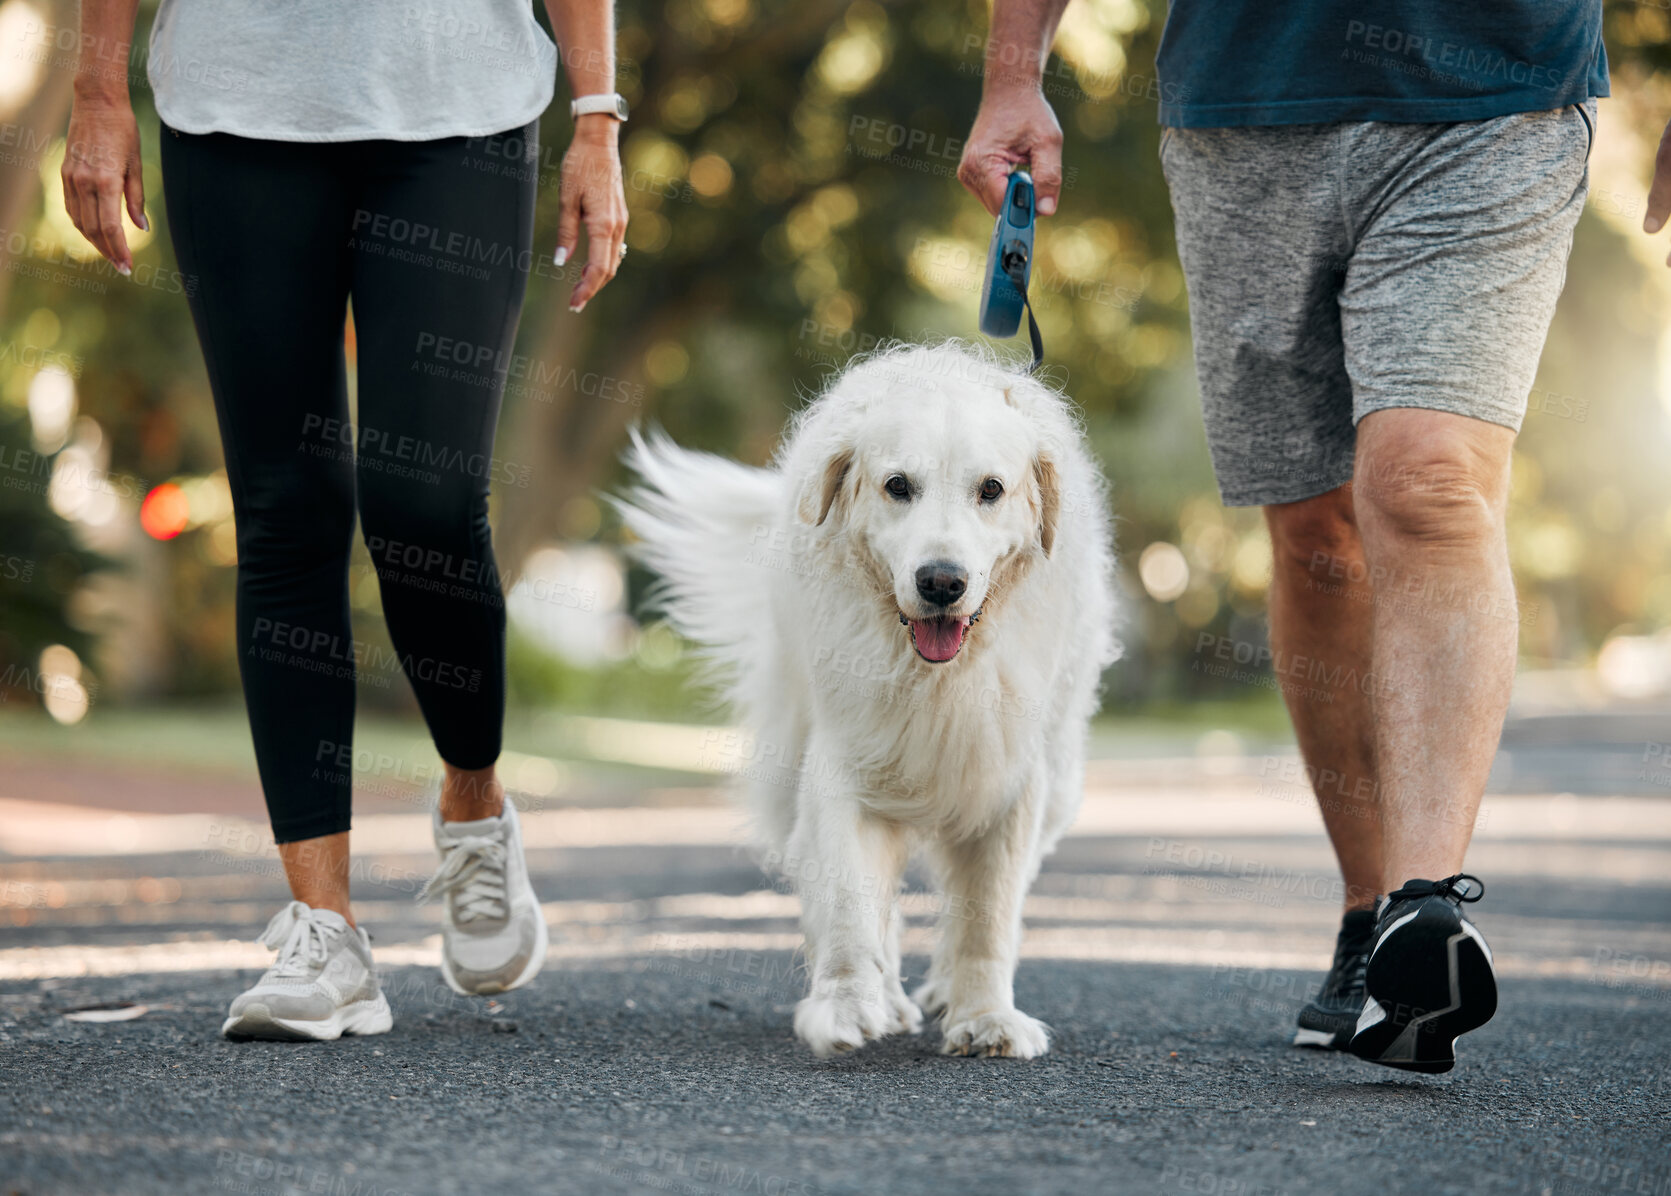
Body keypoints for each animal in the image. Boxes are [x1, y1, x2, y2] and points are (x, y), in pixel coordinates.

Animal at [621, 339, 1116, 1055]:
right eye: (898, 486)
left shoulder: (1010, 781)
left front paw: (986, 1017)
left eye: (991, 490)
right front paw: (849, 1005)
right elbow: (851, 904)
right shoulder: (846, 765)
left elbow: (989, 915)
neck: (939, 677)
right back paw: (889, 997)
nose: (941, 582)